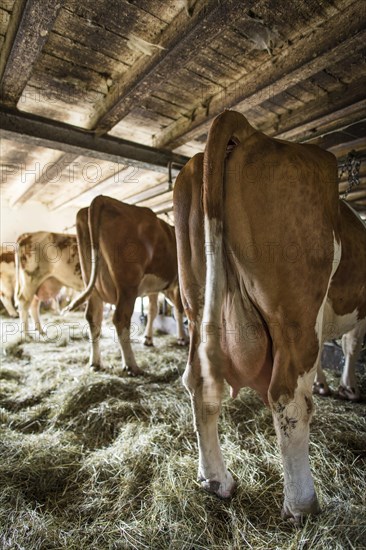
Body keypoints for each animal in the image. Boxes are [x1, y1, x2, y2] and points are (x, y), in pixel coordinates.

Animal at [65, 196, 186, 378]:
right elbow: (179, 310)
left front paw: (148, 339)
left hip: (92, 284)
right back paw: (132, 366)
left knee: (93, 317)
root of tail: (102, 198)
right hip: (128, 285)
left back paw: (96, 363)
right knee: (121, 318)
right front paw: (182, 338)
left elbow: (152, 311)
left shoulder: (153, 288)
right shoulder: (177, 282)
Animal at [174, 110, 366, 524]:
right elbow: (350, 345)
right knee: (287, 399)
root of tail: (249, 132)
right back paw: (302, 505)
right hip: (296, 317)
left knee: (198, 385)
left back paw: (216, 479)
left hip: (197, 310)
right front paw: (347, 387)